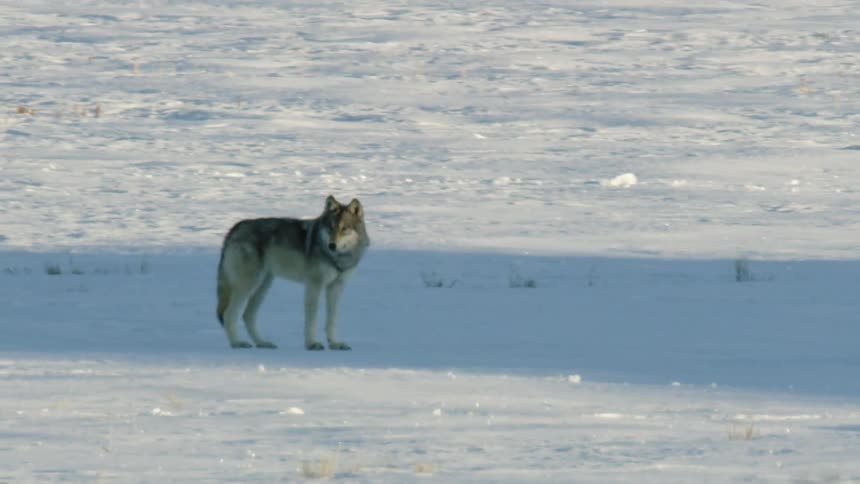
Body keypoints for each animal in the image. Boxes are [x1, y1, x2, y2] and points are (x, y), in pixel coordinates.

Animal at [216, 195, 370, 350]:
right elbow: (311, 319)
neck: (338, 257)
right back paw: (237, 343)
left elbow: (331, 320)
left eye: (344, 228)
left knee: (247, 315)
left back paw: (262, 343)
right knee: (229, 315)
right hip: (248, 285)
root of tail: (234, 228)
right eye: (330, 228)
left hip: (263, 286)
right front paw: (312, 343)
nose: (332, 245)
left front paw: (335, 344)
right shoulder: (314, 285)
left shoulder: (336, 287)